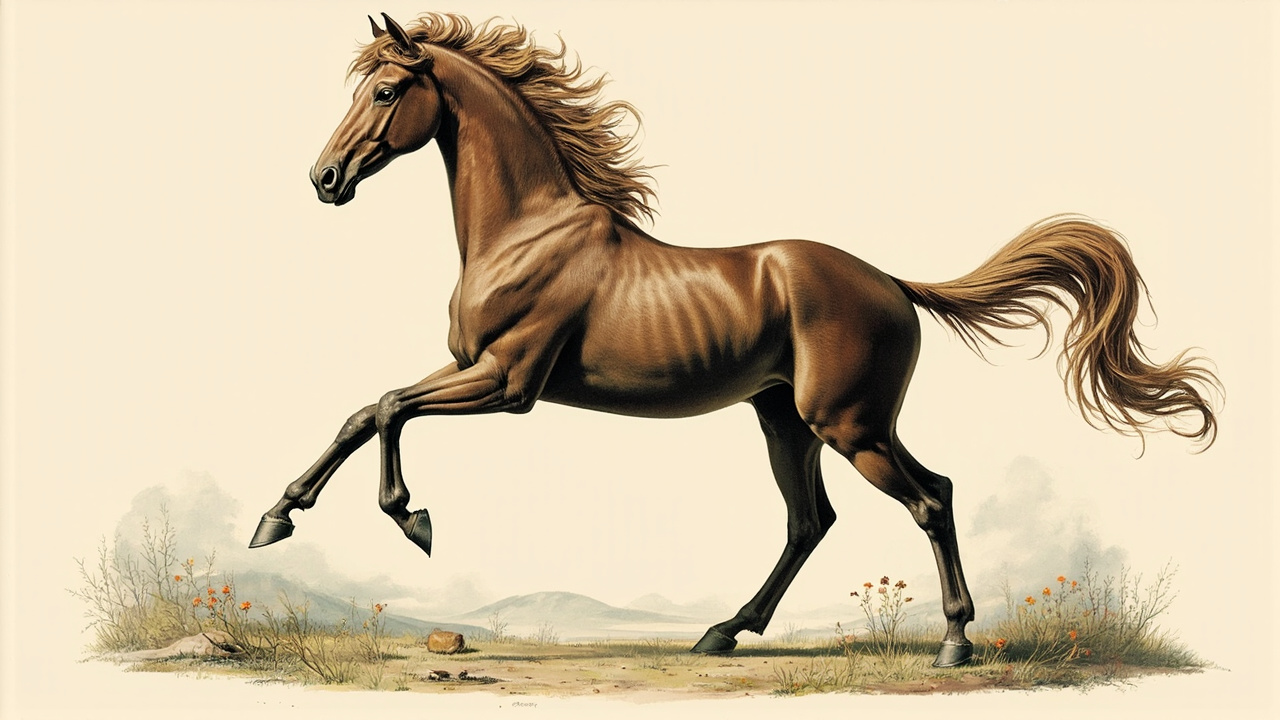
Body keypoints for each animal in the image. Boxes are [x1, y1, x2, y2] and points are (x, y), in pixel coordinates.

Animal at [250, 12, 1220, 667]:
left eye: (385, 92)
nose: (323, 178)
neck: (526, 230)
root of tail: (891, 282)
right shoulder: (470, 370)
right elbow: (360, 413)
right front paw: (275, 519)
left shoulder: (507, 381)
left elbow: (387, 407)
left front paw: (411, 520)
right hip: (789, 420)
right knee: (819, 517)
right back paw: (723, 632)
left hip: (849, 425)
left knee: (928, 499)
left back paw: (952, 646)